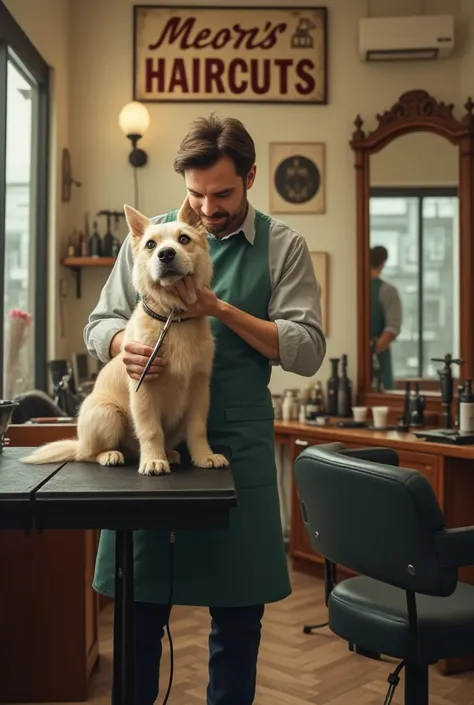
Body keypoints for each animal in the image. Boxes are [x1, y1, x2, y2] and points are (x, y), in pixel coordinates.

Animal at [21, 205, 229, 478]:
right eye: (151, 244)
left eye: (184, 239)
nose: (166, 254)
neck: (172, 319)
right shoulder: (143, 388)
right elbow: (151, 430)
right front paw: (153, 460)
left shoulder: (199, 388)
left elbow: (197, 429)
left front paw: (204, 457)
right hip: (107, 413)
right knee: (87, 454)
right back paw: (111, 454)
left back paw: (170, 453)